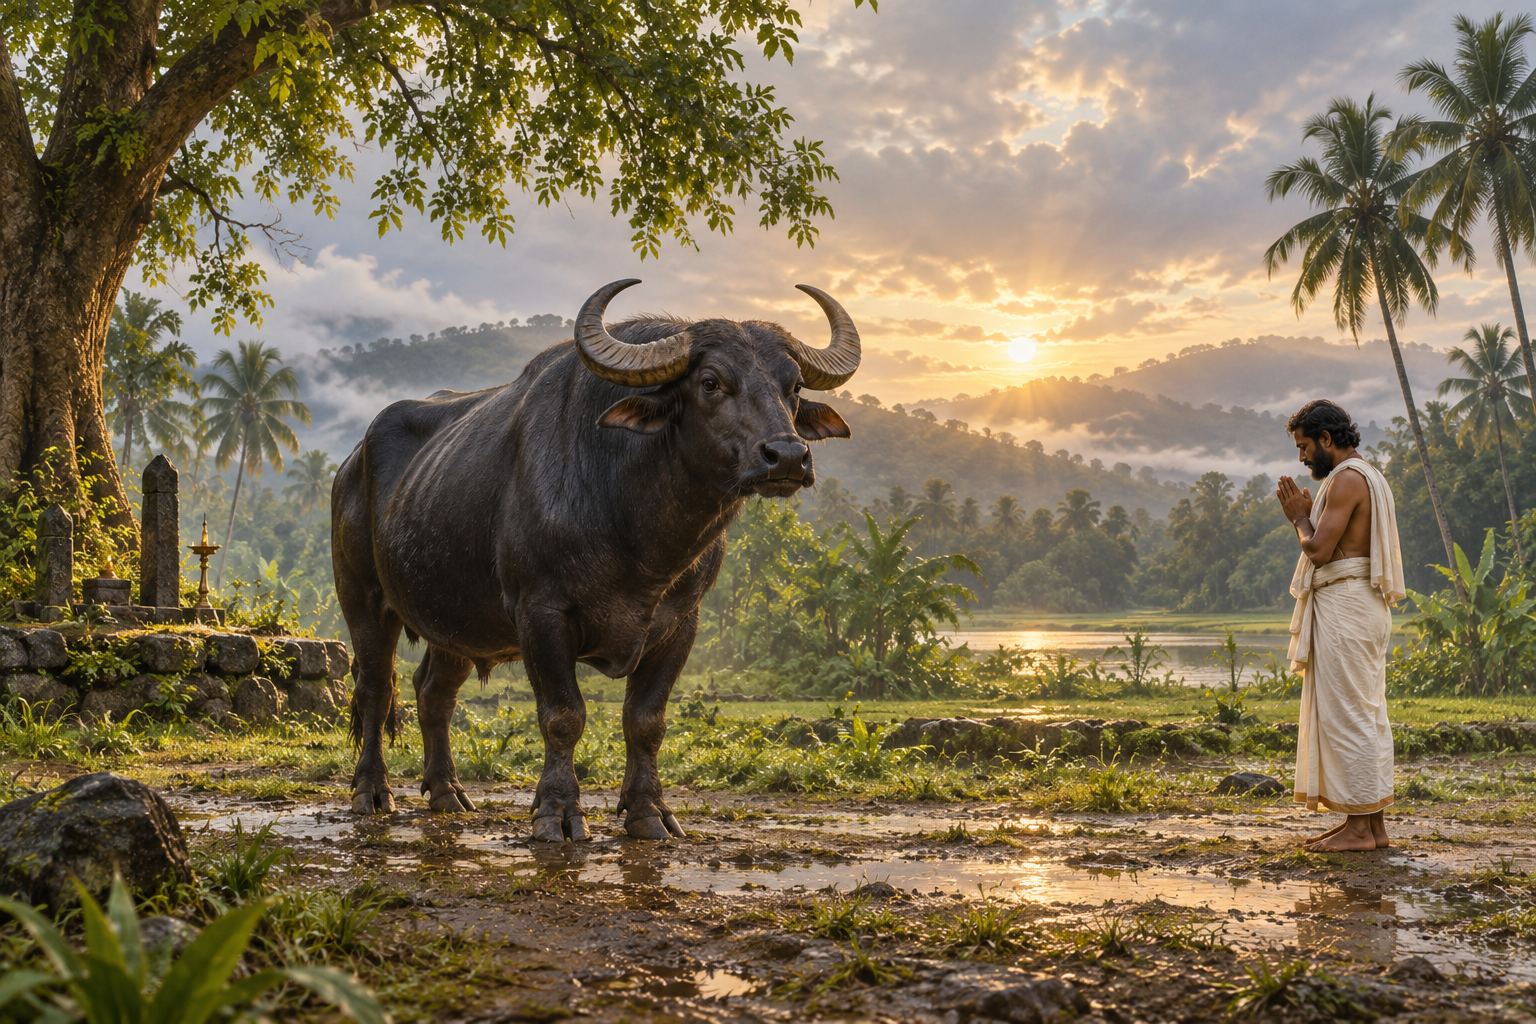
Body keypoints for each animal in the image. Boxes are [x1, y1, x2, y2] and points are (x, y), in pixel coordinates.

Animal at [333, 280, 861, 839]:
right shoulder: (540, 612)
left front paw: (649, 811)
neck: (637, 534)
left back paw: (447, 792)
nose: (788, 456)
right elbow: (563, 716)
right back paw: (372, 792)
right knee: (376, 690)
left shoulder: (681, 624)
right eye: (711, 382)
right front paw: (558, 812)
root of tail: (350, 463)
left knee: (434, 694)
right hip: (363, 598)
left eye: (794, 386)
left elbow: (646, 721)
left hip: (455, 619)